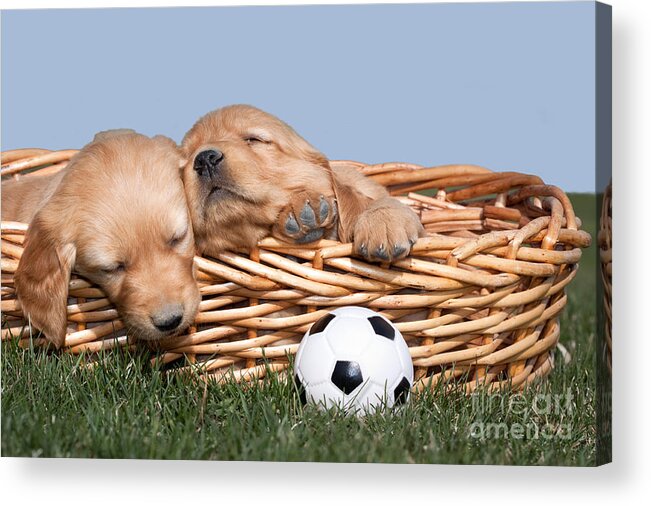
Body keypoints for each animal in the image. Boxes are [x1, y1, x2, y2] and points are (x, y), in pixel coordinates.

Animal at [180, 104, 422, 260]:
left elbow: (377, 201)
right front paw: (301, 212)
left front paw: (383, 224)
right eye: (184, 161)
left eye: (253, 139)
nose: (205, 159)